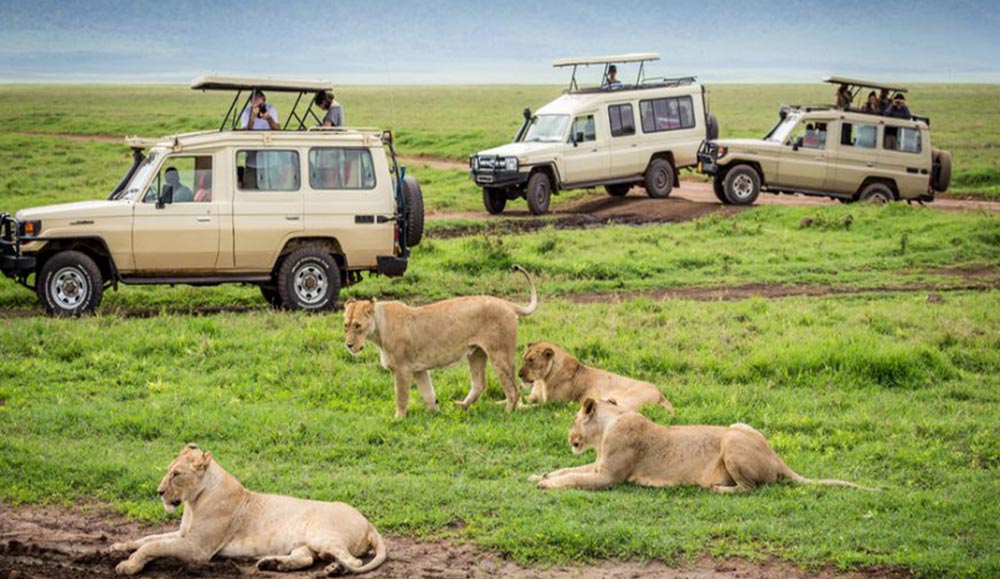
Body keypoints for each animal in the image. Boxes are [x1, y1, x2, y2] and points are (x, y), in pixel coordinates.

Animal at [112, 444, 386, 576]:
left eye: (176, 474)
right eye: (169, 470)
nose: (159, 492)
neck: (193, 502)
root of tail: (369, 523)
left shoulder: (198, 548)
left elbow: (153, 546)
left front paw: (128, 565)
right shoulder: (183, 534)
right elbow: (147, 538)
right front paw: (118, 547)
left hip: (320, 534)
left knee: (352, 560)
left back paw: (333, 569)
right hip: (306, 543)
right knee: (305, 558)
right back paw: (272, 564)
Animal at [344, 266, 536, 420]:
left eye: (357, 325)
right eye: (346, 325)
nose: (348, 345)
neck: (378, 330)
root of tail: (507, 303)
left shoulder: (402, 369)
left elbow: (401, 396)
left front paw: (397, 419)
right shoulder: (418, 369)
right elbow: (428, 394)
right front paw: (435, 413)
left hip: (500, 354)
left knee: (513, 389)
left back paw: (507, 413)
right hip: (476, 353)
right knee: (480, 384)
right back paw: (461, 406)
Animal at [516, 342, 672, 414]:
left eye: (531, 360)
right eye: (523, 358)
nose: (519, 375)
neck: (541, 380)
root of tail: (661, 394)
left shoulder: (553, 404)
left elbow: (533, 407)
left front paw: (520, 407)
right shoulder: (534, 397)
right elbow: (518, 400)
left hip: (630, 398)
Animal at [532, 398, 876, 494]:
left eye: (573, 420)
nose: (569, 439)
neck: (607, 426)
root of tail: (778, 459)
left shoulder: (608, 477)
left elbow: (574, 477)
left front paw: (547, 484)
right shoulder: (598, 464)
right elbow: (569, 468)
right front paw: (540, 475)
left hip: (731, 441)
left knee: (750, 488)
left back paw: (716, 488)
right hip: (740, 425)